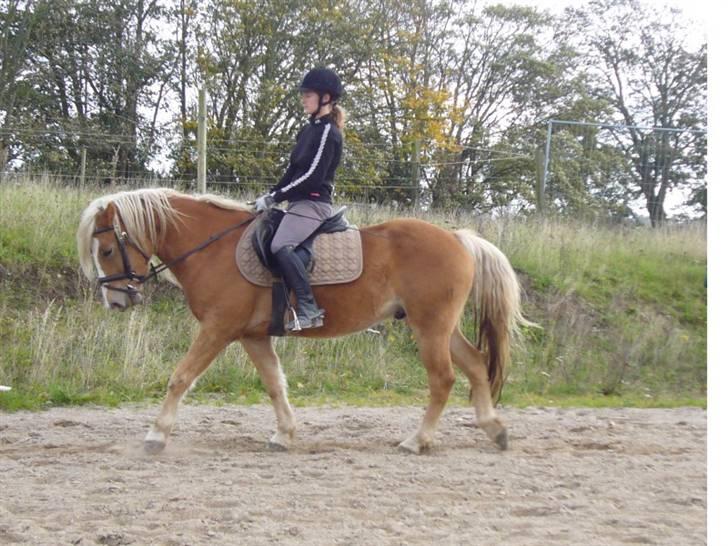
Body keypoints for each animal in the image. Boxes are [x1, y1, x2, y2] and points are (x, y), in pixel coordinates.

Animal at [78, 189, 528, 452]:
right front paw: (283, 434)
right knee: (475, 365)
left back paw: (416, 441)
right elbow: (275, 384)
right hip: (440, 327)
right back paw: (494, 429)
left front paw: (156, 433)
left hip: (429, 326)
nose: (115, 300)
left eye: (106, 250)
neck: (214, 248)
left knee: (444, 379)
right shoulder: (252, 336)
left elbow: (181, 377)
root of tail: (457, 238)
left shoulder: (218, 329)